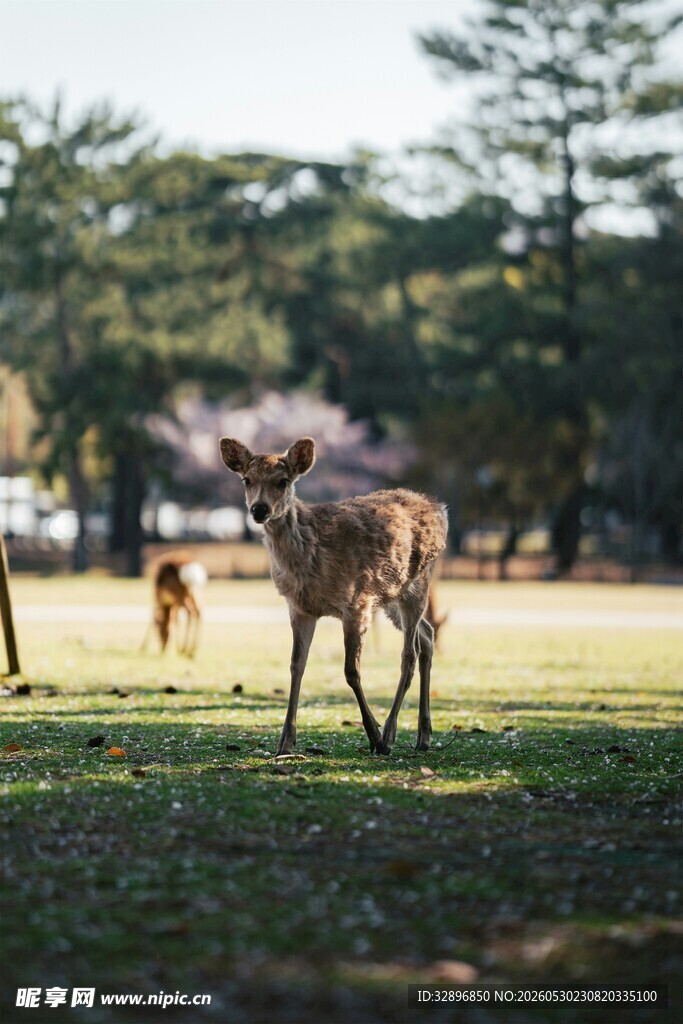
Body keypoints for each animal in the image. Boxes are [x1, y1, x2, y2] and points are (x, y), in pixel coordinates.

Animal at [219, 436, 448, 755]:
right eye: (247, 480)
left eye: (283, 481)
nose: (259, 509)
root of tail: (440, 508)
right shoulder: (299, 608)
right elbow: (296, 665)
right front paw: (285, 741)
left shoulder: (357, 602)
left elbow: (351, 670)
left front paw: (373, 735)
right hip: (391, 596)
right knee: (427, 635)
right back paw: (423, 736)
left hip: (418, 582)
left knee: (409, 654)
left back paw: (390, 734)